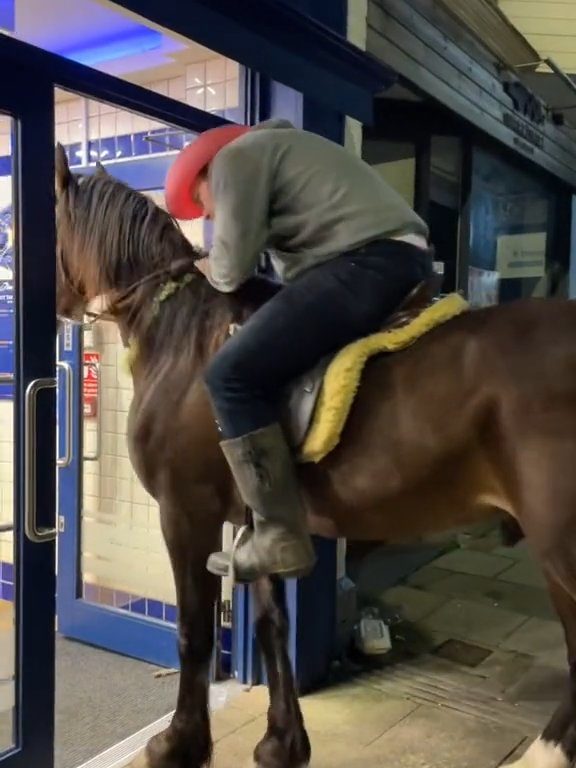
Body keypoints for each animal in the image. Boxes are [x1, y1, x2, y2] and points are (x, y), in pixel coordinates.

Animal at [55, 146, 576, 768]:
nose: (56, 305)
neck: (182, 335)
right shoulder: (259, 524)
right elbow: (271, 623)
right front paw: (282, 741)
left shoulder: (185, 512)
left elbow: (194, 631)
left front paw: (180, 742)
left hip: (561, 544)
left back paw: (545, 753)